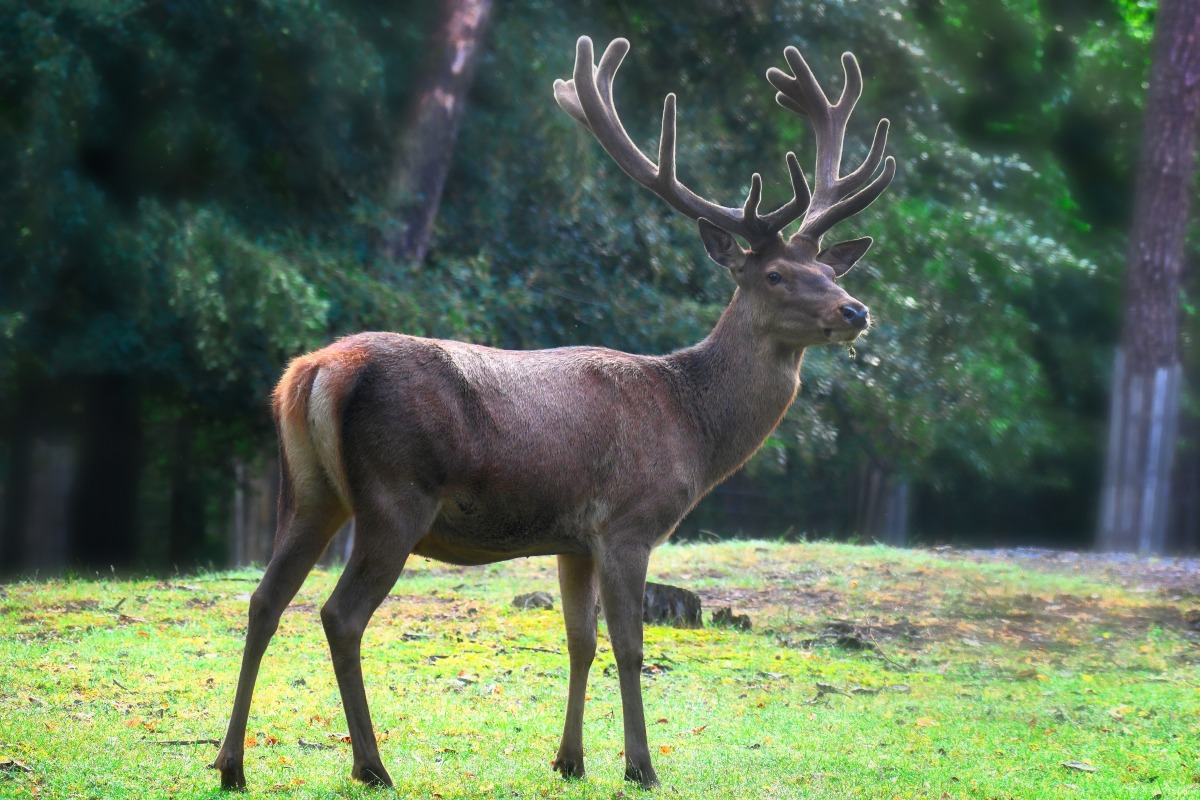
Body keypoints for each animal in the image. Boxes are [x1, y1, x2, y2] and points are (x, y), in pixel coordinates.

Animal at [212, 35, 895, 791]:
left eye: (832, 273)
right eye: (775, 276)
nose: (855, 311)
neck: (692, 427)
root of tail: (316, 371)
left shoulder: (574, 539)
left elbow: (578, 641)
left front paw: (570, 760)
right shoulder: (629, 522)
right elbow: (629, 645)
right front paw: (641, 767)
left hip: (309, 491)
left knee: (264, 601)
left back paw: (231, 763)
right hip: (395, 495)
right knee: (339, 613)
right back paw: (371, 765)